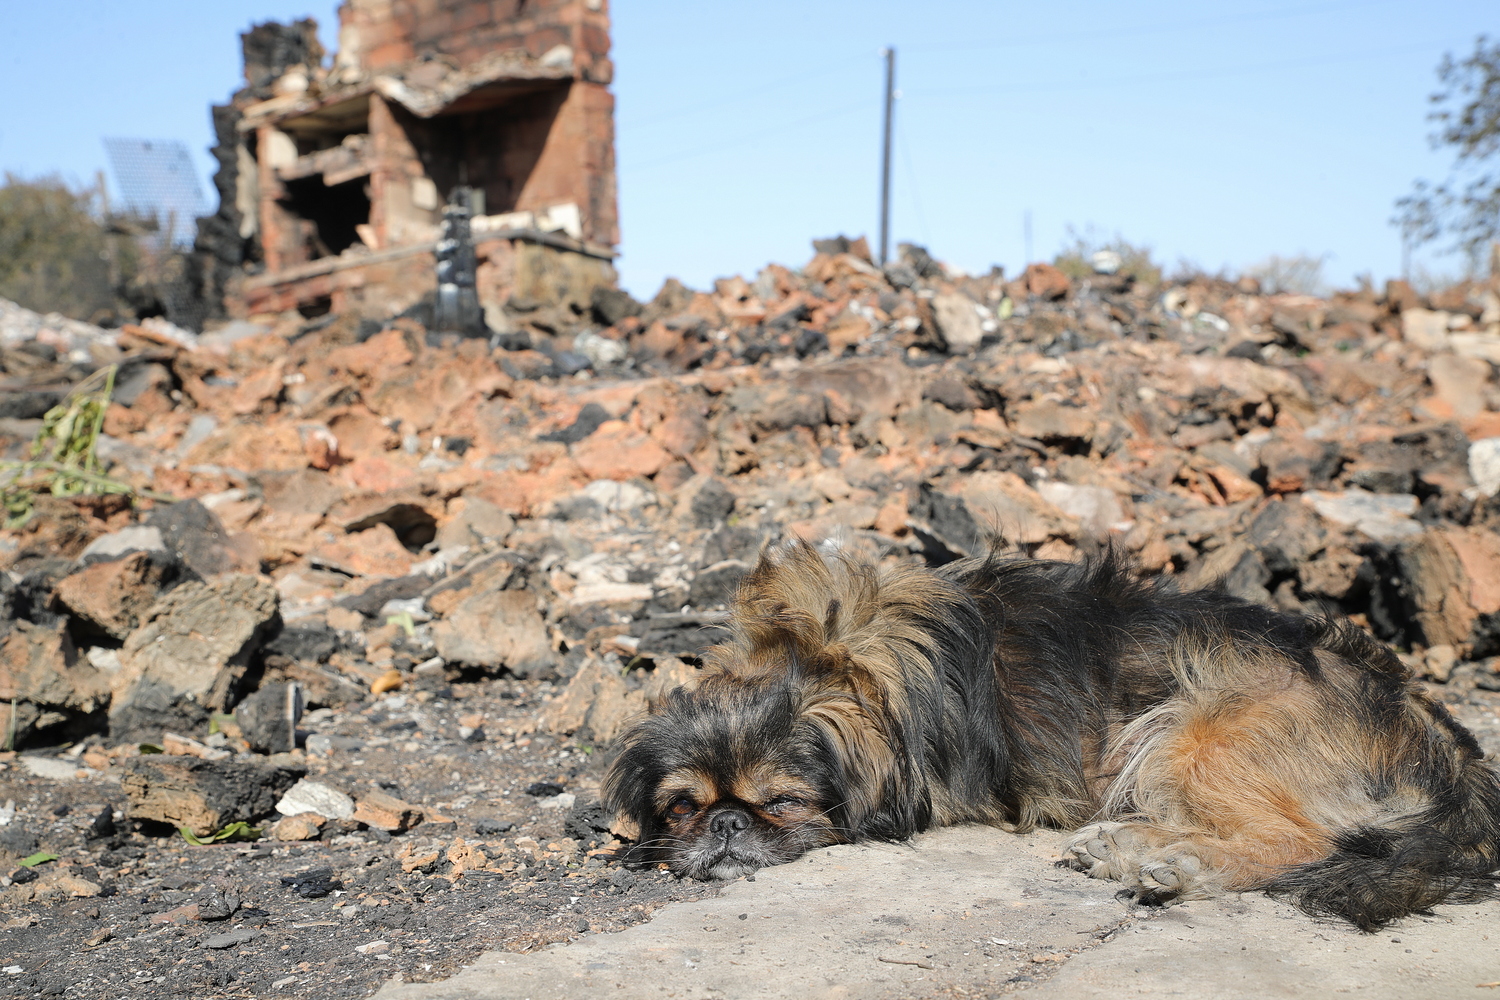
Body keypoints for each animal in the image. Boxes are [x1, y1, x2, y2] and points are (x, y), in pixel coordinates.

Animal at [603, 542, 1500, 935]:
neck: (830, 667)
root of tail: (1437, 731)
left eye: (783, 804)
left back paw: (1168, 862)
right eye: (681, 809)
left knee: (1295, 839)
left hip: (1195, 723)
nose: (725, 826)